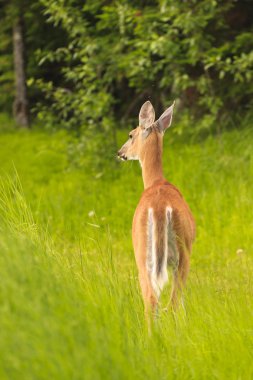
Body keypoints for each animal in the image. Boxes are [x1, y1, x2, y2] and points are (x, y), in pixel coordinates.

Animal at [117, 100, 196, 320]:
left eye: (130, 135)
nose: (120, 153)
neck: (156, 182)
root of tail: (160, 209)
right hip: (179, 253)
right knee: (169, 302)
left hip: (145, 254)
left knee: (157, 302)